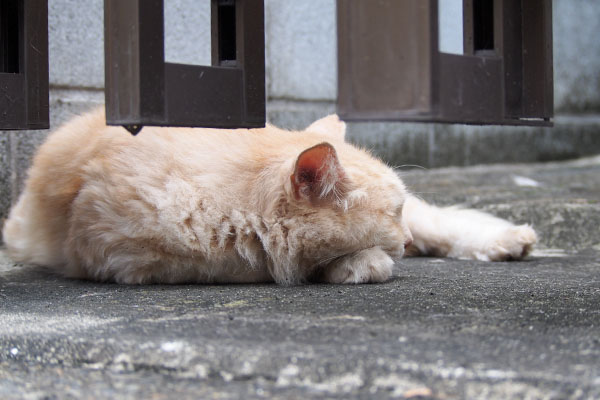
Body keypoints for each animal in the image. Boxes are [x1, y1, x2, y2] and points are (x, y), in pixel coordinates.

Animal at [2, 108, 536, 284]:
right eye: (391, 214)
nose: (403, 240)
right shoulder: (131, 258)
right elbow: (272, 259)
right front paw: (362, 263)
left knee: (446, 223)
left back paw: (508, 241)